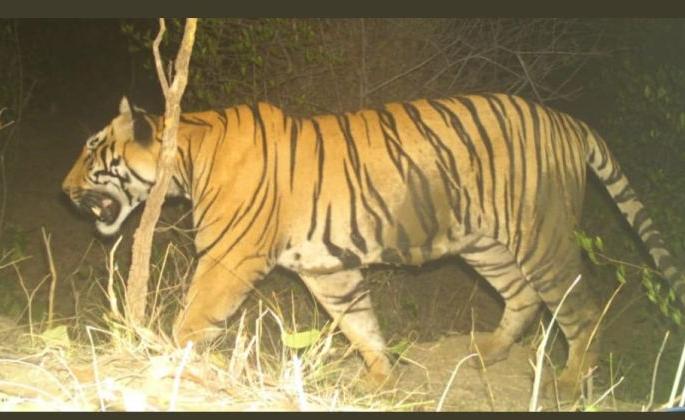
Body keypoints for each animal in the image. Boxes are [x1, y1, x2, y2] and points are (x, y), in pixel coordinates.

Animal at [63, 94, 684, 396]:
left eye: (92, 148)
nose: (64, 191)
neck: (187, 157)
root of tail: (567, 121)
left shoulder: (228, 258)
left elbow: (192, 320)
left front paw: (162, 362)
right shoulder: (326, 268)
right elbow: (359, 322)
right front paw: (382, 379)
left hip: (541, 236)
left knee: (581, 307)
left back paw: (570, 380)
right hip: (483, 243)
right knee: (524, 297)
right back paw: (487, 349)